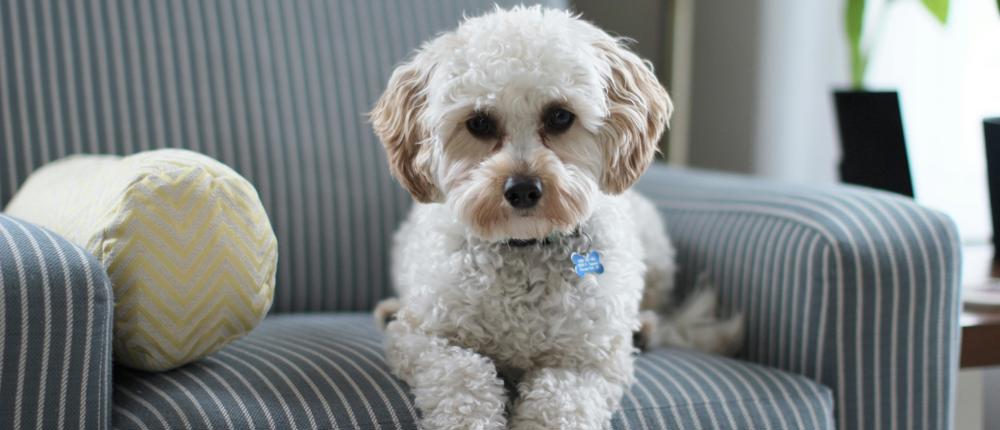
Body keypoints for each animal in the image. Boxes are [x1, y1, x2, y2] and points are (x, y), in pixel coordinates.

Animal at [368, 6, 744, 430]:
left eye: (560, 116)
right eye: (479, 123)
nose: (522, 190)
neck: (524, 247)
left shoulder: (586, 363)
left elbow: (558, 402)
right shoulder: (426, 339)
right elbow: (464, 378)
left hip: (656, 251)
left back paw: (644, 329)